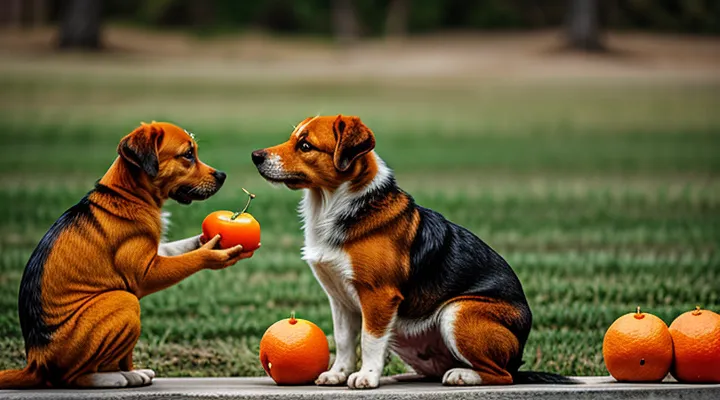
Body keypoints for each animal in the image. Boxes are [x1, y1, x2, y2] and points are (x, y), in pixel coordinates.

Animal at [0, 121, 253, 388]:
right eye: (187, 155)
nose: (222, 175)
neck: (128, 195)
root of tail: (36, 363)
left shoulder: (156, 251)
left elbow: (182, 247)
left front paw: (203, 240)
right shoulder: (146, 274)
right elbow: (190, 259)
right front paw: (211, 252)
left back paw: (130, 372)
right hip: (124, 301)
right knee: (70, 377)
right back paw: (114, 378)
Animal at [253, 115, 572, 388]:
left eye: (305, 145)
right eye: (294, 138)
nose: (256, 156)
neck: (334, 206)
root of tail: (518, 355)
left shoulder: (378, 296)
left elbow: (369, 340)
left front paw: (366, 377)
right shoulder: (340, 300)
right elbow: (344, 341)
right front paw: (338, 373)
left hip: (458, 312)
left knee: (502, 375)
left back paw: (462, 375)